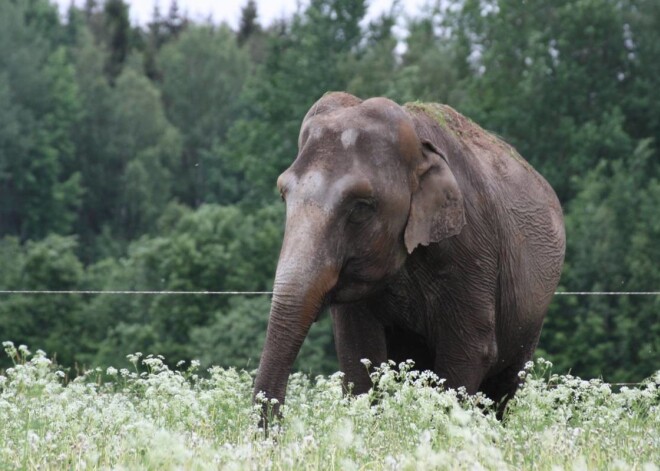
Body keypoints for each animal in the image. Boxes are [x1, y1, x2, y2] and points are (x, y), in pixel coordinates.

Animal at [255, 92, 564, 420]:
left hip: (531, 317)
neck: (419, 146)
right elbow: (359, 350)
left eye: (360, 207)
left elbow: (471, 348)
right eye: (283, 195)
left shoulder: (472, 249)